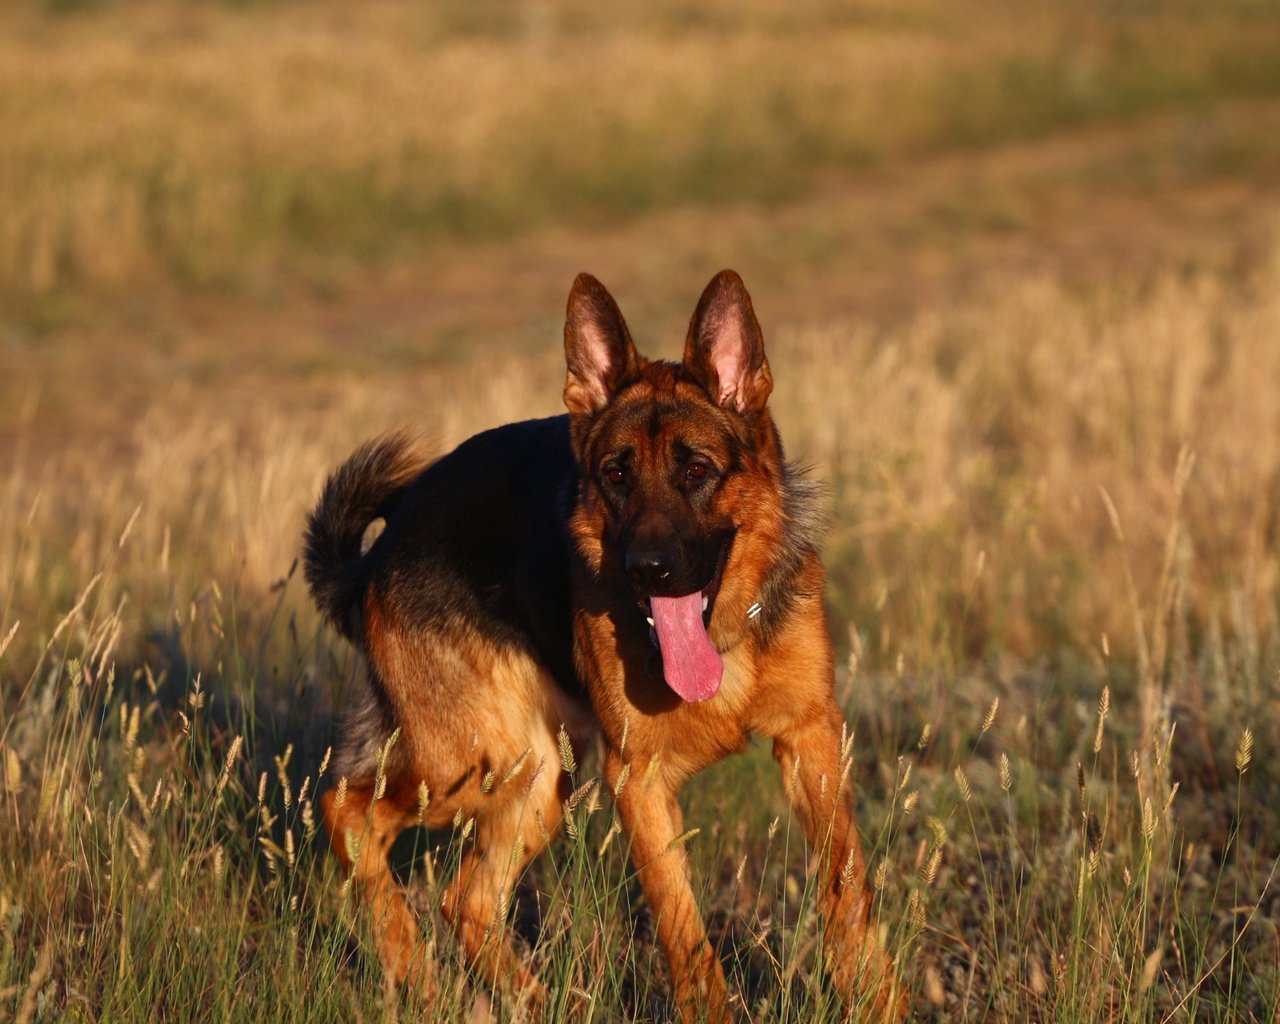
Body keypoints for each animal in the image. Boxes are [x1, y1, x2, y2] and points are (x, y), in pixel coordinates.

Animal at [302, 270, 901, 1013]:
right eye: (616, 475)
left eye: (696, 471)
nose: (649, 568)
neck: (721, 634)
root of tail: (375, 558)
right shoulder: (638, 780)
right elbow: (682, 928)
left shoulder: (811, 738)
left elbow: (846, 889)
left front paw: (877, 999)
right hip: (472, 760)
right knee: (345, 809)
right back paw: (413, 968)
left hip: (533, 783)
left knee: (464, 900)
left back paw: (532, 1003)